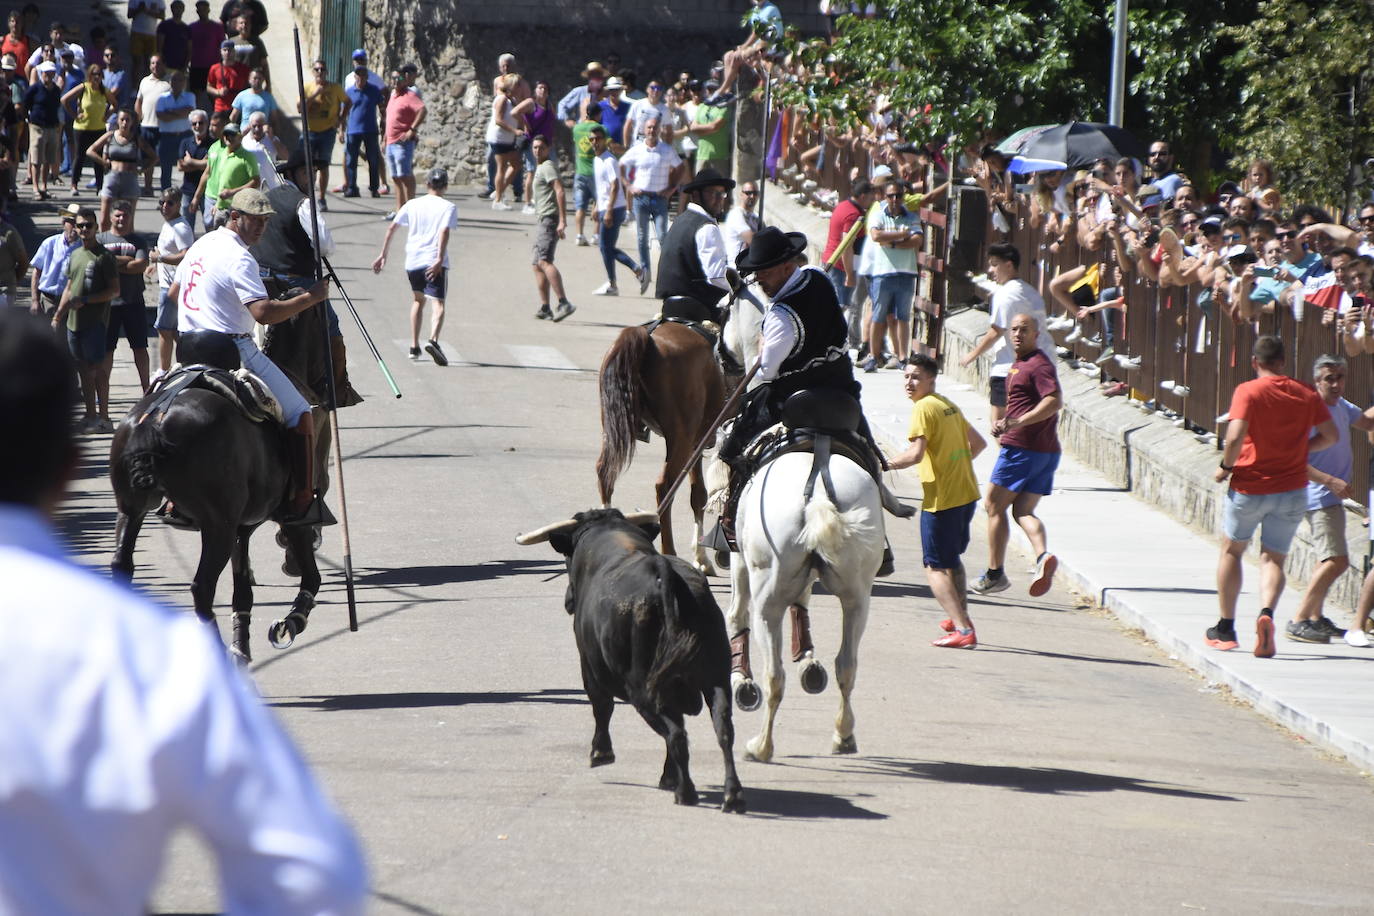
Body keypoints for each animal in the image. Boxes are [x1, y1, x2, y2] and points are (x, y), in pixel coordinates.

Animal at [109, 311, 329, 661]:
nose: (328, 392)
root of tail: (159, 418)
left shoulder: (242, 529)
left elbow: (243, 594)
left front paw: (242, 649)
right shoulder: (291, 516)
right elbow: (311, 575)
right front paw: (291, 621)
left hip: (132, 510)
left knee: (122, 566)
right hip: (217, 526)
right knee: (202, 587)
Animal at [519, 508, 747, 818]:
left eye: (567, 557)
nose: (568, 602)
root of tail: (664, 577)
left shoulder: (588, 667)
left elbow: (602, 707)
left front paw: (601, 752)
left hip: (643, 690)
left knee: (675, 734)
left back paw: (685, 792)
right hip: (716, 679)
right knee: (722, 729)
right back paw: (731, 796)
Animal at [599, 322, 730, 574]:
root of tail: (647, 337)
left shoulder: (698, 444)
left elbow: (698, 494)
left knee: (605, 472)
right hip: (681, 438)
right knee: (665, 486)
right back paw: (669, 552)